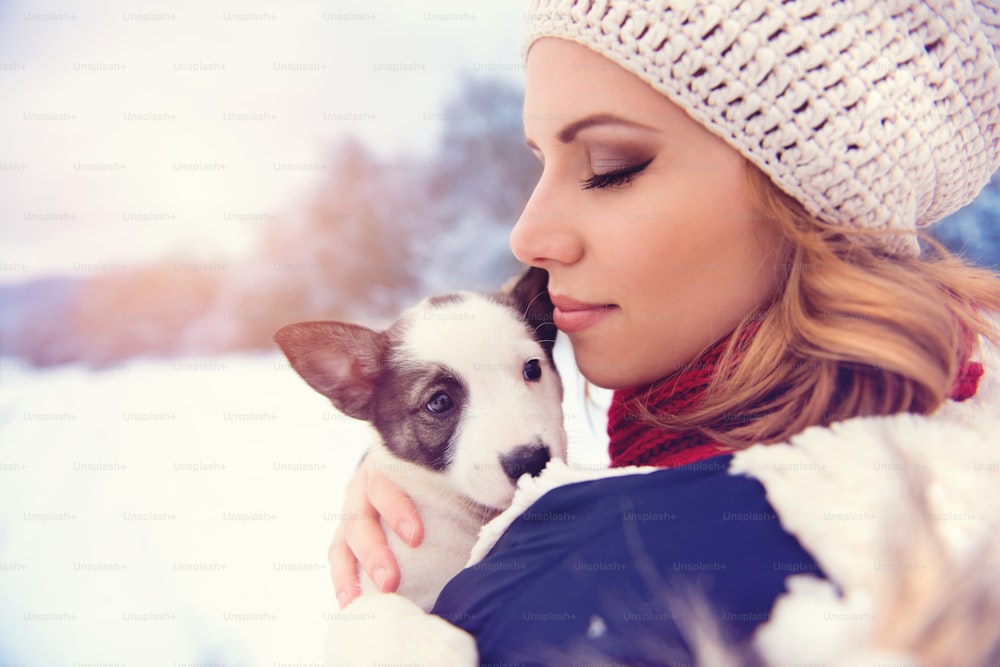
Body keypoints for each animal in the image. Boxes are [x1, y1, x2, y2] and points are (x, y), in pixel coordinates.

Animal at [274, 268, 568, 612]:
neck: (460, 513)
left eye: (532, 368)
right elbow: (398, 613)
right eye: (439, 402)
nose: (531, 461)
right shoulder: (371, 593)